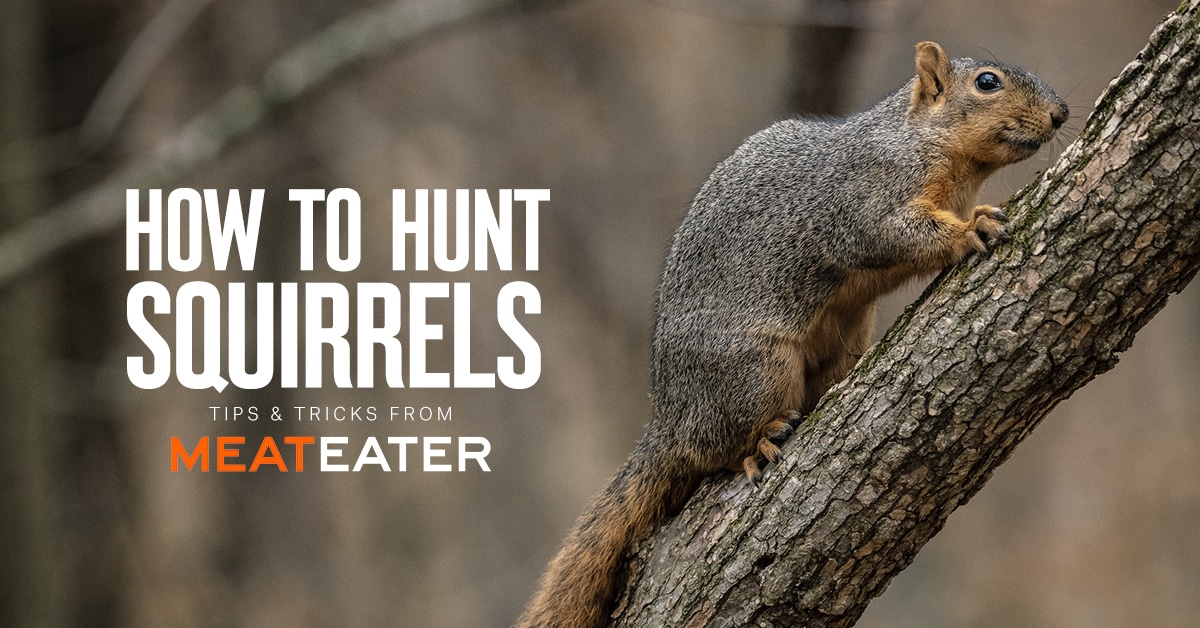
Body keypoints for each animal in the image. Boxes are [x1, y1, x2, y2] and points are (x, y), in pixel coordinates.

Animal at [517, 41, 1067, 628]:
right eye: (987, 81)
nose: (1061, 113)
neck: (928, 146)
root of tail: (670, 421)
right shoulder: (863, 199)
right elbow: (892, 234)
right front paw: (971, 229)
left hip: (840, 347)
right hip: (756, 372)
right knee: (718, 451)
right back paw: (758, 444)